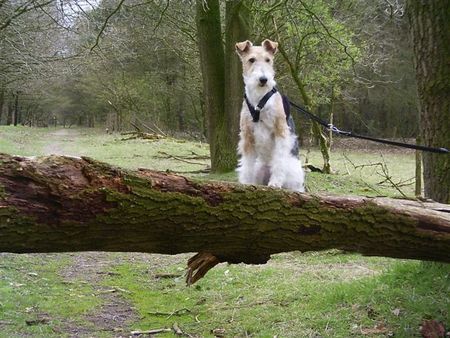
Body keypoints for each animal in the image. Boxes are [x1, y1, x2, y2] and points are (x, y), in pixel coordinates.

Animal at [234, 39, 304, 193]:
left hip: (293, 175)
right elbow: (247, 163)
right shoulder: (247, 135)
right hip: (259, 168)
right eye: (251, 60)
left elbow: (279, 159)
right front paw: (246, 183)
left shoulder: (280, 130)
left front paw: (275, 183)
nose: (263, 79)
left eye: (268, 60)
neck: (259, 100)